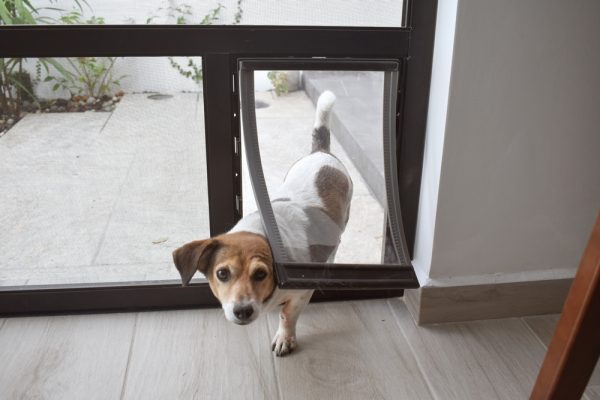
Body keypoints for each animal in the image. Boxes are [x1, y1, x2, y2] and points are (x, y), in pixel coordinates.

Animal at [172, 90, 352, 356]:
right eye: (222, 273)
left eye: (260, 274)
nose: (242, 311)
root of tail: (321, 153)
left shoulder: (300, 294)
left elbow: (288, 315)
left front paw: (285, 337)